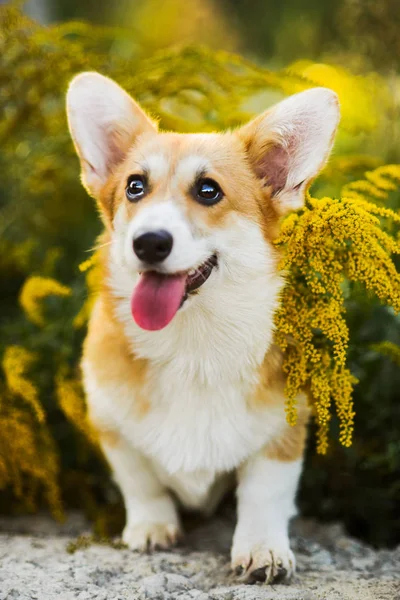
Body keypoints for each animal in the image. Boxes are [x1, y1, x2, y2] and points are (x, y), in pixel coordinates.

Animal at [66, 71, 340, 584]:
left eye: (208, 191)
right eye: (135, 187)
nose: (148, 242)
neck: (191, 344)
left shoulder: (284, 430)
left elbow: (265, 494)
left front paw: (263, 550)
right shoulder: (111, 425)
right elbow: (140, 481)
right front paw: (152, 527)